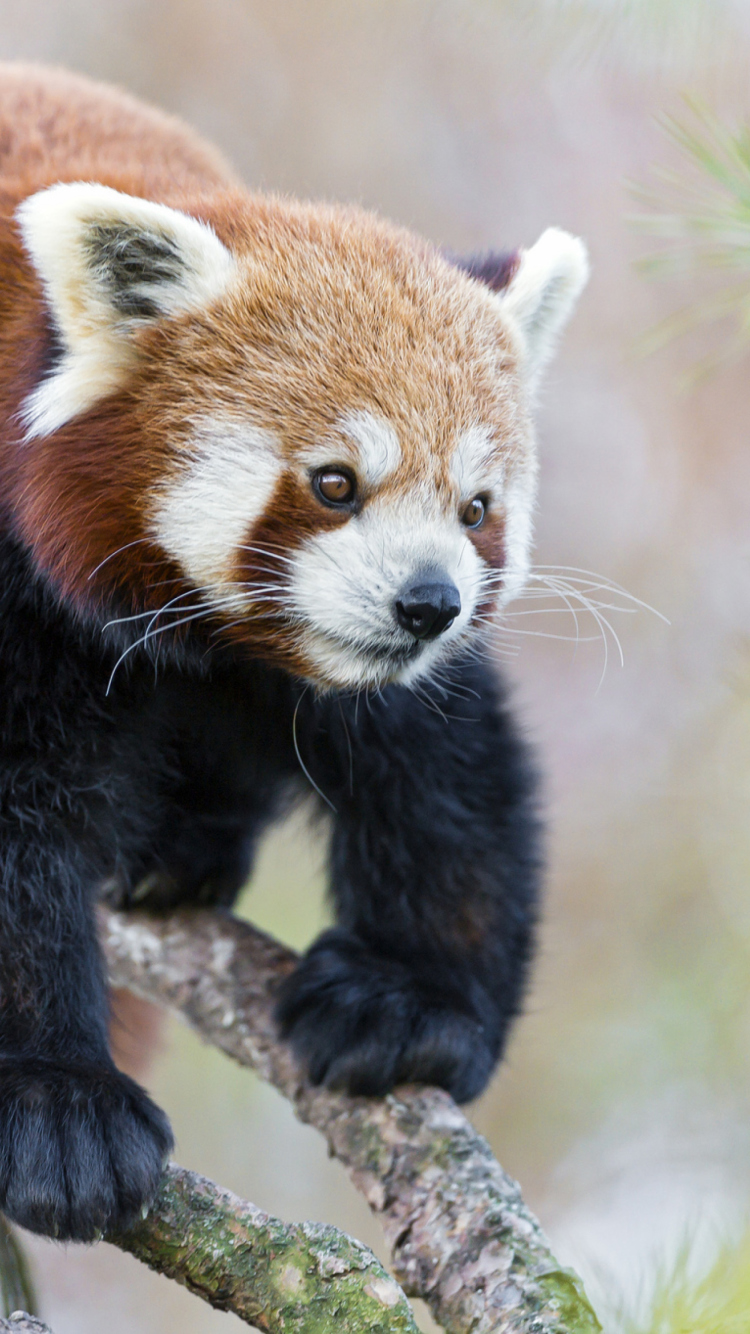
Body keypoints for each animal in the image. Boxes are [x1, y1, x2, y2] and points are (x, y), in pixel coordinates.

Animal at [0, 65, 587, 1237]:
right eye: (334, 482)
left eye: (477, 509)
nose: (429, 603)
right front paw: (61, 1102)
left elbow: (447, 771)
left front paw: (410, 999)